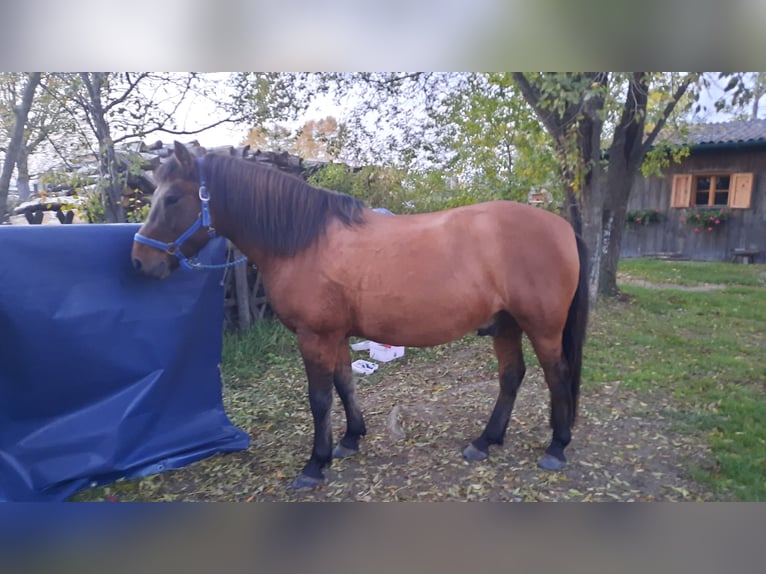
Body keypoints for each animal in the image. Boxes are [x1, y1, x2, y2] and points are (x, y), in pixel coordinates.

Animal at [132, 143, 592, 490]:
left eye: (172, 198)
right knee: (512, 376)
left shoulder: (314, 336)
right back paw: (485, 441)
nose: (139, 262)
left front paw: (315, 464)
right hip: (506, 324)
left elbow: (319, 399)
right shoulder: (336, 335)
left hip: (542, 327)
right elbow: (345, 384)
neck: (304, 241)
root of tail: (561, 227)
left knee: (557, 376)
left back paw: (557, 447)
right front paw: (350, 439)